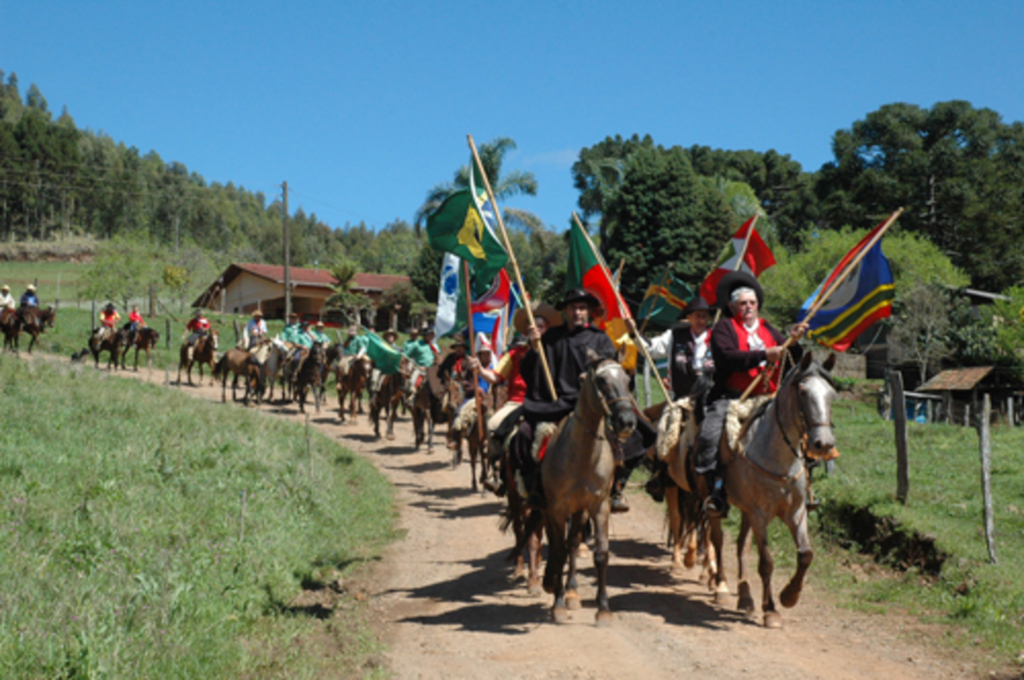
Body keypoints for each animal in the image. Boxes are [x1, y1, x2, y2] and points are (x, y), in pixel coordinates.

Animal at [524, 352, 634, 622]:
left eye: (628, 381)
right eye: (602, 380)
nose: (627, 421)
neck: (582, 457)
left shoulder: (598, 506)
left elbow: (600, 554)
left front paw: (603, 609)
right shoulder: (557, 509)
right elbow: (558, 551)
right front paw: (558, 604)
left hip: (580, 511)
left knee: (573, 543)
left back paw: (572, 591)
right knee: (558, 545)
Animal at [708, 352, 835, 630]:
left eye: (832, 394)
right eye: (803, 392)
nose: (823, 444)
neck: (779, 459)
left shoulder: (796, 513)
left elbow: (806, 555)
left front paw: (789, 595)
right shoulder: (759, 514)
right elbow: (766, 562)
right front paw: (771, 610)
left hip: (746, 511)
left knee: (741, 545)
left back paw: (745, 597)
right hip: (711, 502)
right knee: (717, 539)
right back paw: (720, 586)